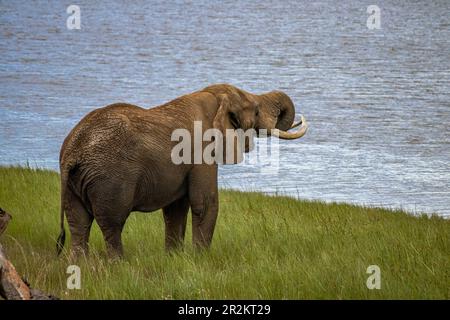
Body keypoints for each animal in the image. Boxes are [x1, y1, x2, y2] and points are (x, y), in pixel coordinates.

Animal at [55, 83, 306, 258]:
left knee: (78, 224)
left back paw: (81, 265)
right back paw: (118, 265)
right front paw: (201, 260)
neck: (212, 96)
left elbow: (175, 209)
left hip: (75, 182)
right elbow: (205, 203)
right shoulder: (202, 150)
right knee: (112, 224)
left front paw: (174, 258)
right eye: (255, 110)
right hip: (109, 180)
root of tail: (72, 153)